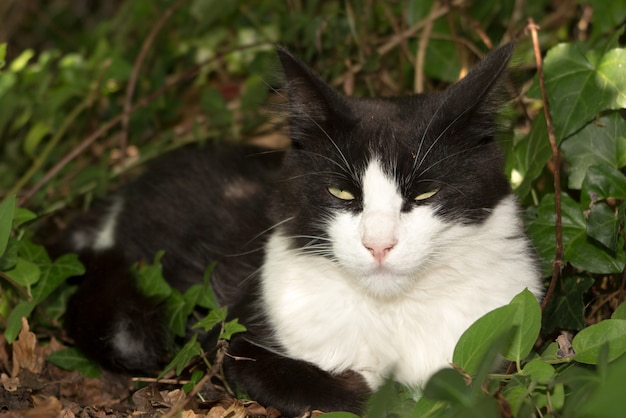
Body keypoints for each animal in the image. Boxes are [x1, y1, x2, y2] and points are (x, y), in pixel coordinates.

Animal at [63, 44, 540, 416]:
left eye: (425, 193)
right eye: (341, 192)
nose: (378, 244)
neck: (392, 312)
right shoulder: (237, 336)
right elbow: (320, 387)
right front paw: (376, 392)